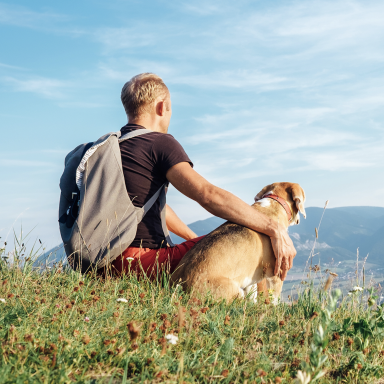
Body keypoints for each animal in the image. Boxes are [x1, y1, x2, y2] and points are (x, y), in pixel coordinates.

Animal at [171, 182, 306, 304]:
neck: (275, 202)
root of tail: (181, 286)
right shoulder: (276, 274)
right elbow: (274, 301)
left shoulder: (250, 279)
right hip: (236, 291)